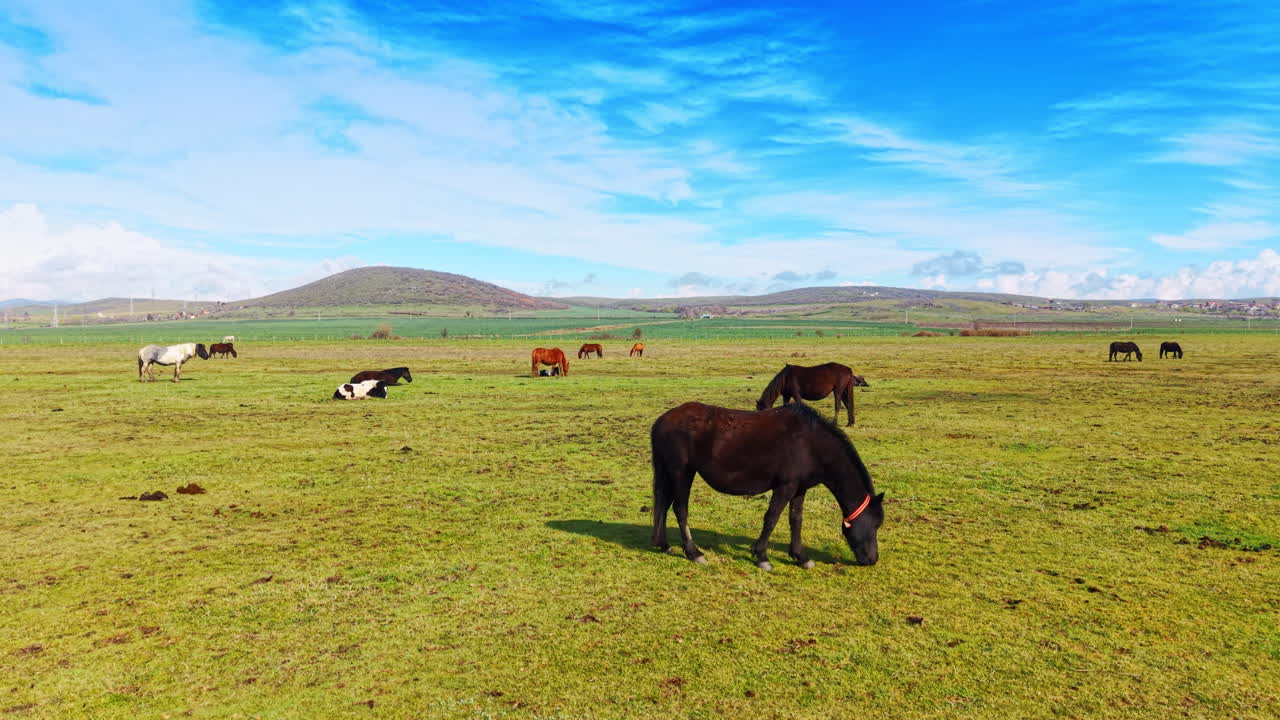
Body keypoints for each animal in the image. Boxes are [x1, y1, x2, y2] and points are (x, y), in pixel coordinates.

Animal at [651, 401, 884, 569]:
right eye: (876, 525)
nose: (872, 559)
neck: (811, 444)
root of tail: (661, 421)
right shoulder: (785, 487)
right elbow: (771, 518)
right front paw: (761, 556)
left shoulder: (799, 489)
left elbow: (795, 520)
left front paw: (800, 556)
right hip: (682, 473)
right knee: (680, 509)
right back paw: (693, 552)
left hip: (669, 473)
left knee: (663, 504)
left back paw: (663, 545)